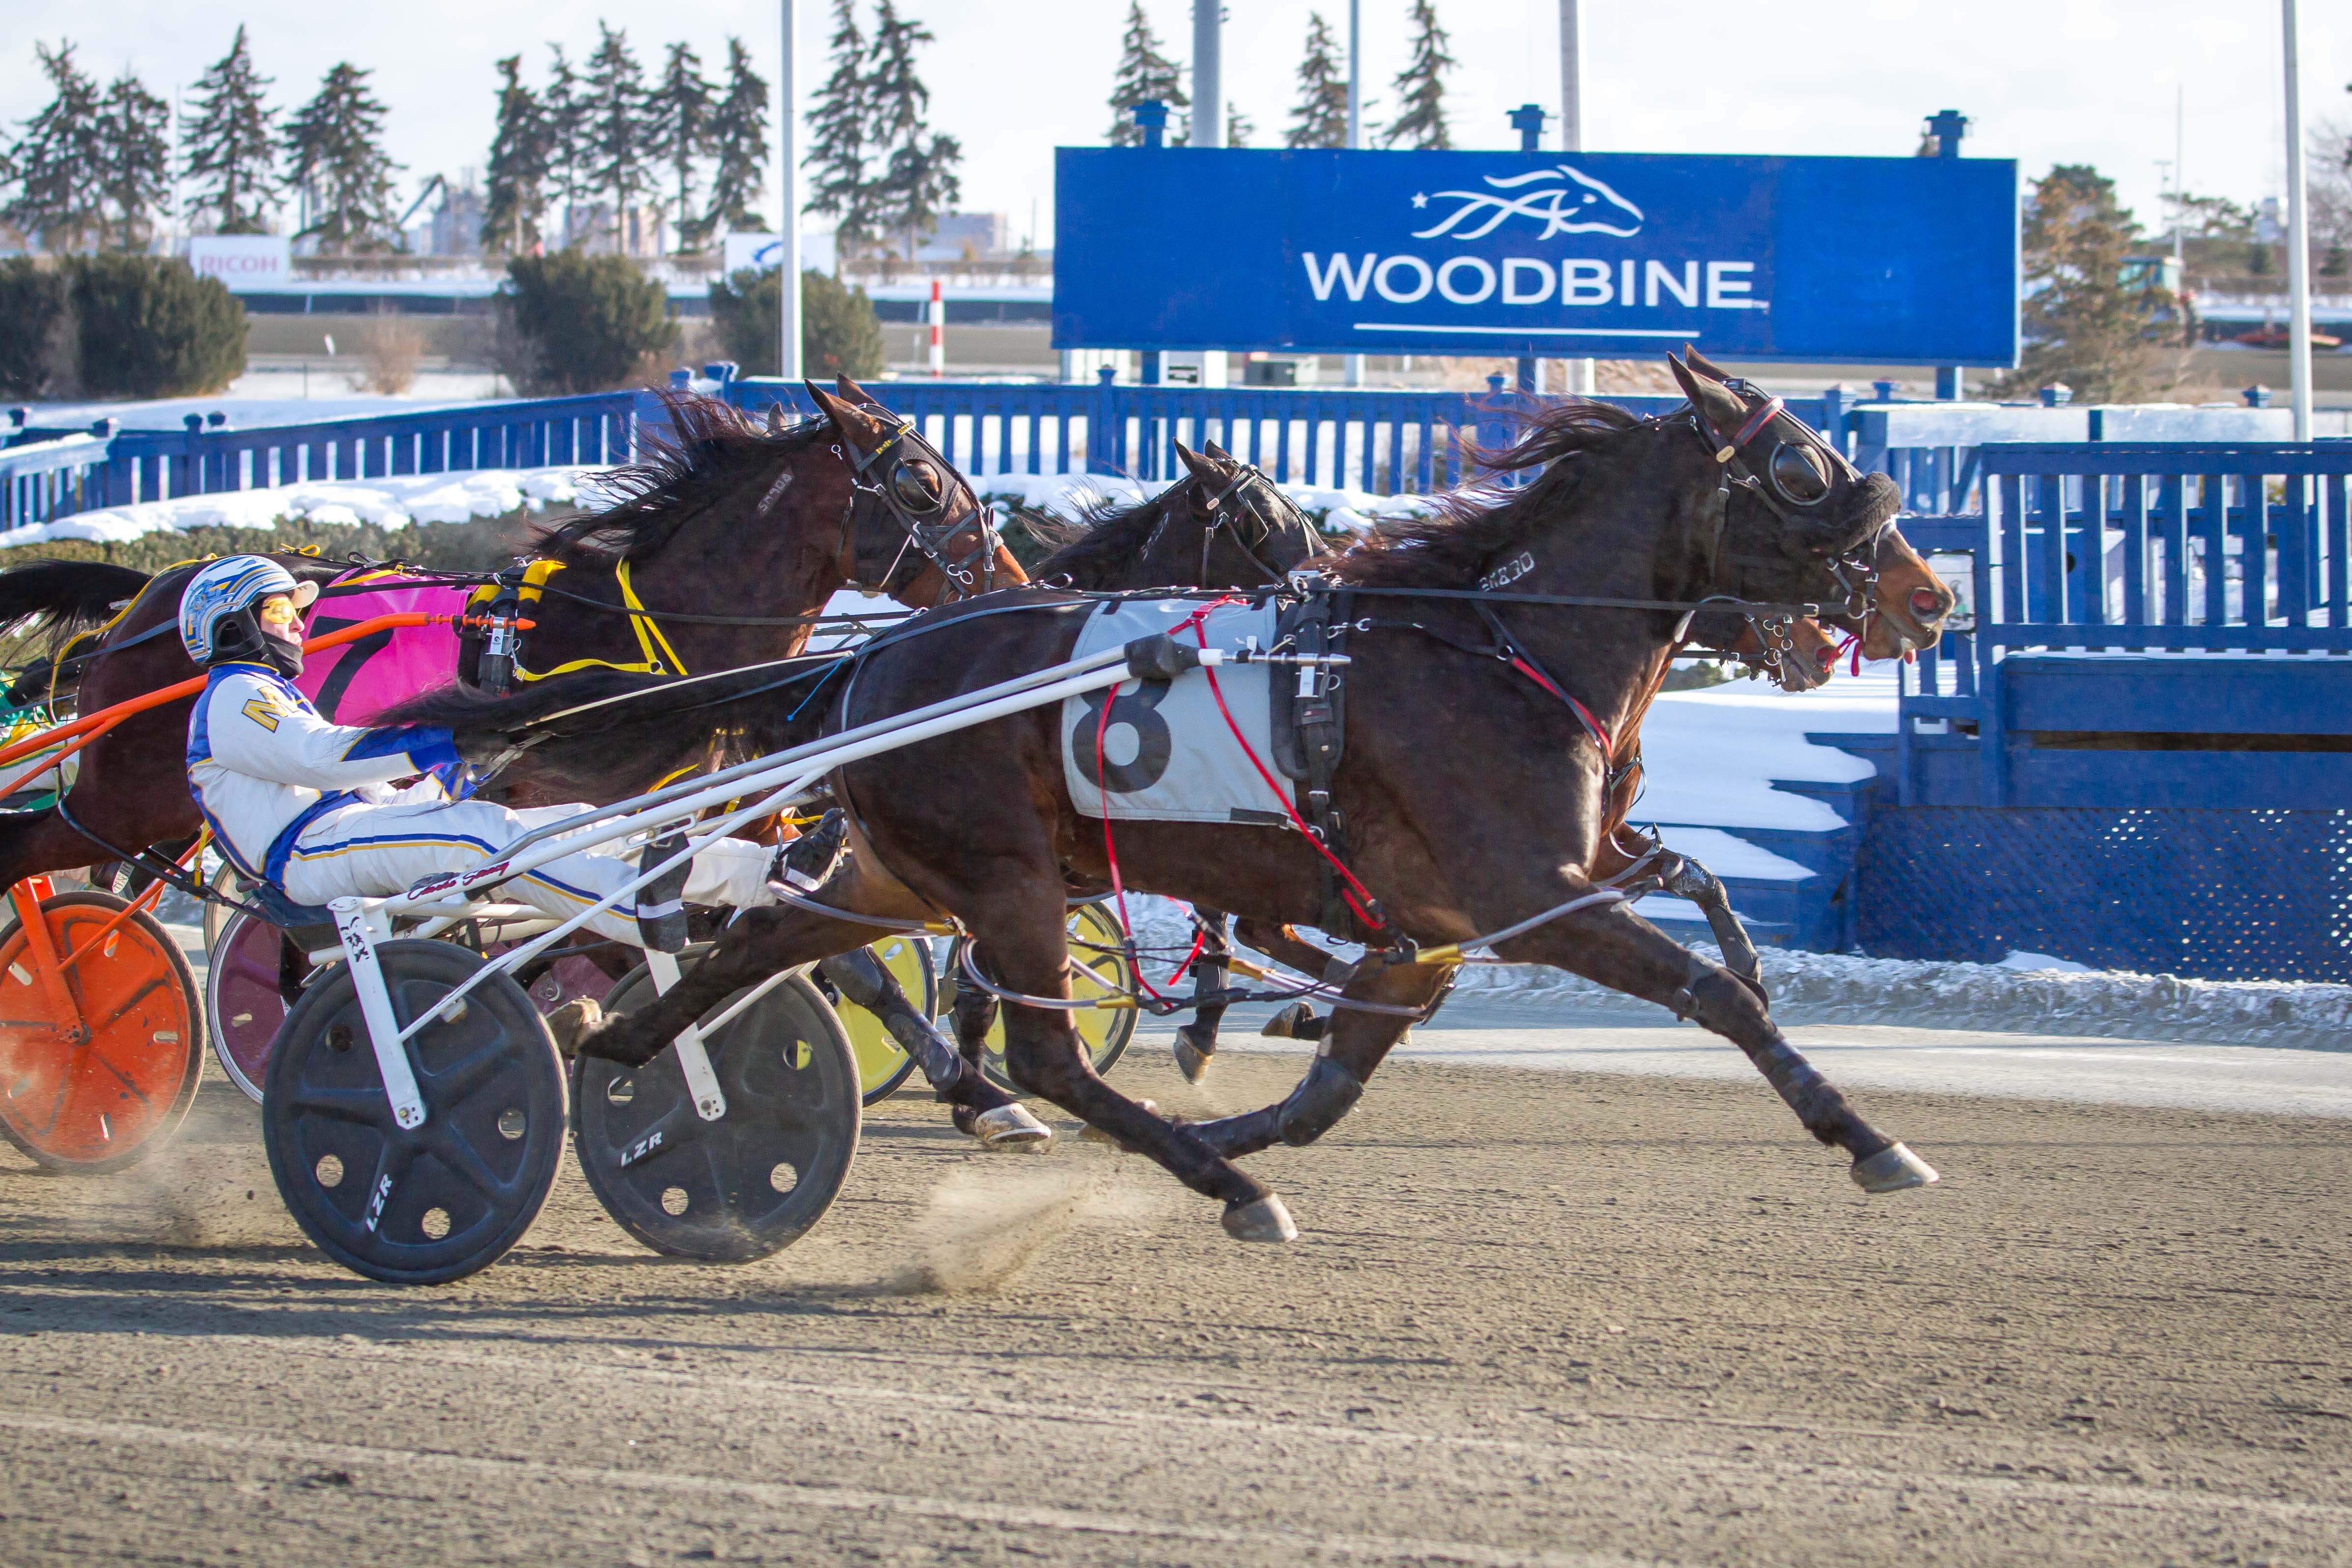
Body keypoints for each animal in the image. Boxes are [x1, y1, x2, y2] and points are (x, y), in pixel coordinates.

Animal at [505, 352, 1939, 1240]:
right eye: (1802, 468)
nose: (1927, 598)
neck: (1498, 646)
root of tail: (870, 659)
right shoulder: (1526, 894)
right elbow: (1713, 997)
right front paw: (1867, 1136)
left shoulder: (1437, 922)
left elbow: (1335, 1081)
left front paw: (1253, 1107)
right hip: (1003, 874)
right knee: (1039, 1050)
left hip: (898, 869)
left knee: (760, 947)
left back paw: (622, 1066)